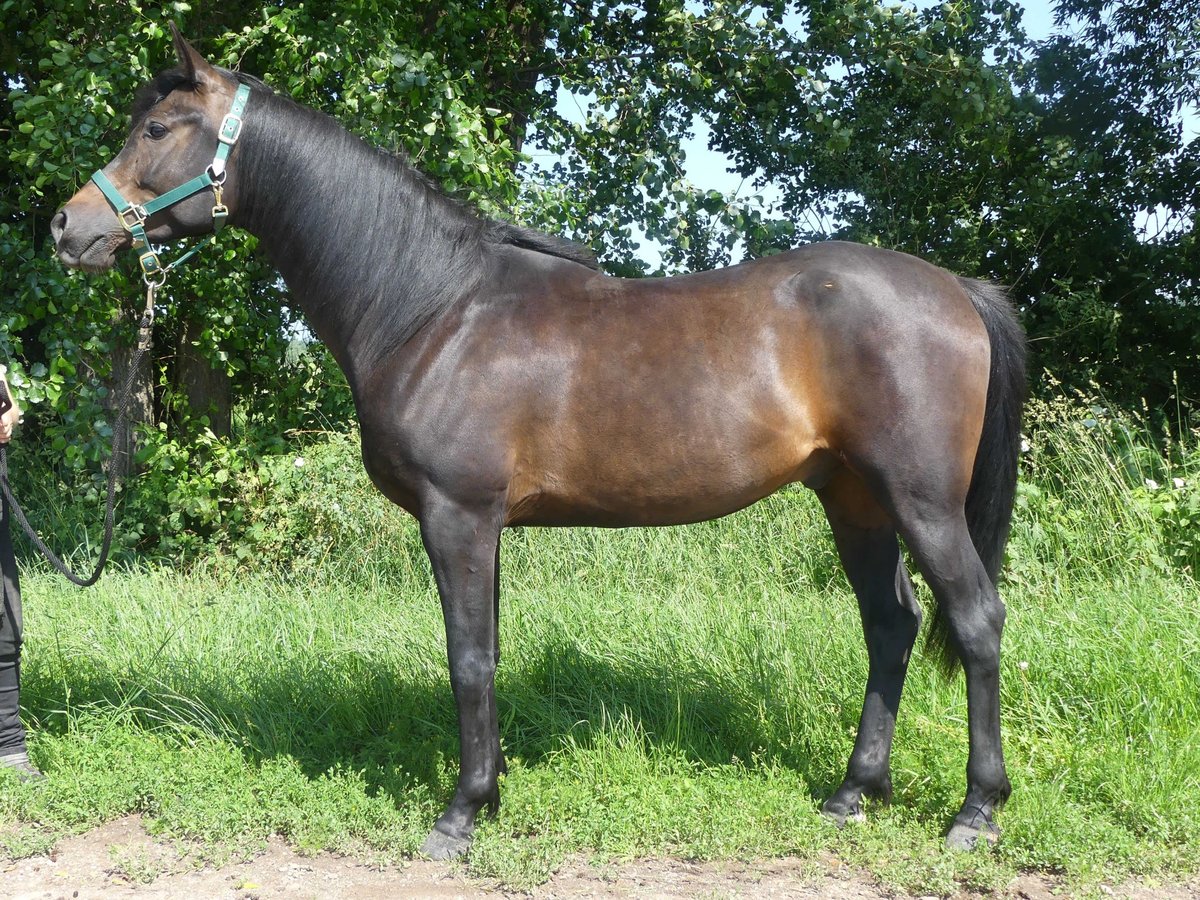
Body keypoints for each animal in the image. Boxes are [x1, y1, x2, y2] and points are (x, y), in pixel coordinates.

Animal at [51, 27, 1026, 860]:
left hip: (920, 501)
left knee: (976, 621)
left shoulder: (458, 517)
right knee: (891, 625)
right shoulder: (483, 526)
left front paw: (459, 815)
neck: (430, 302)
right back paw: (854, 793)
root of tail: (957, 290)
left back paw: (976, 812)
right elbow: (487, 654)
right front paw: (490, 795)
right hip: (855, 499)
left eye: (157, 128)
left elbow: (469, 659)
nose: (68, 227)